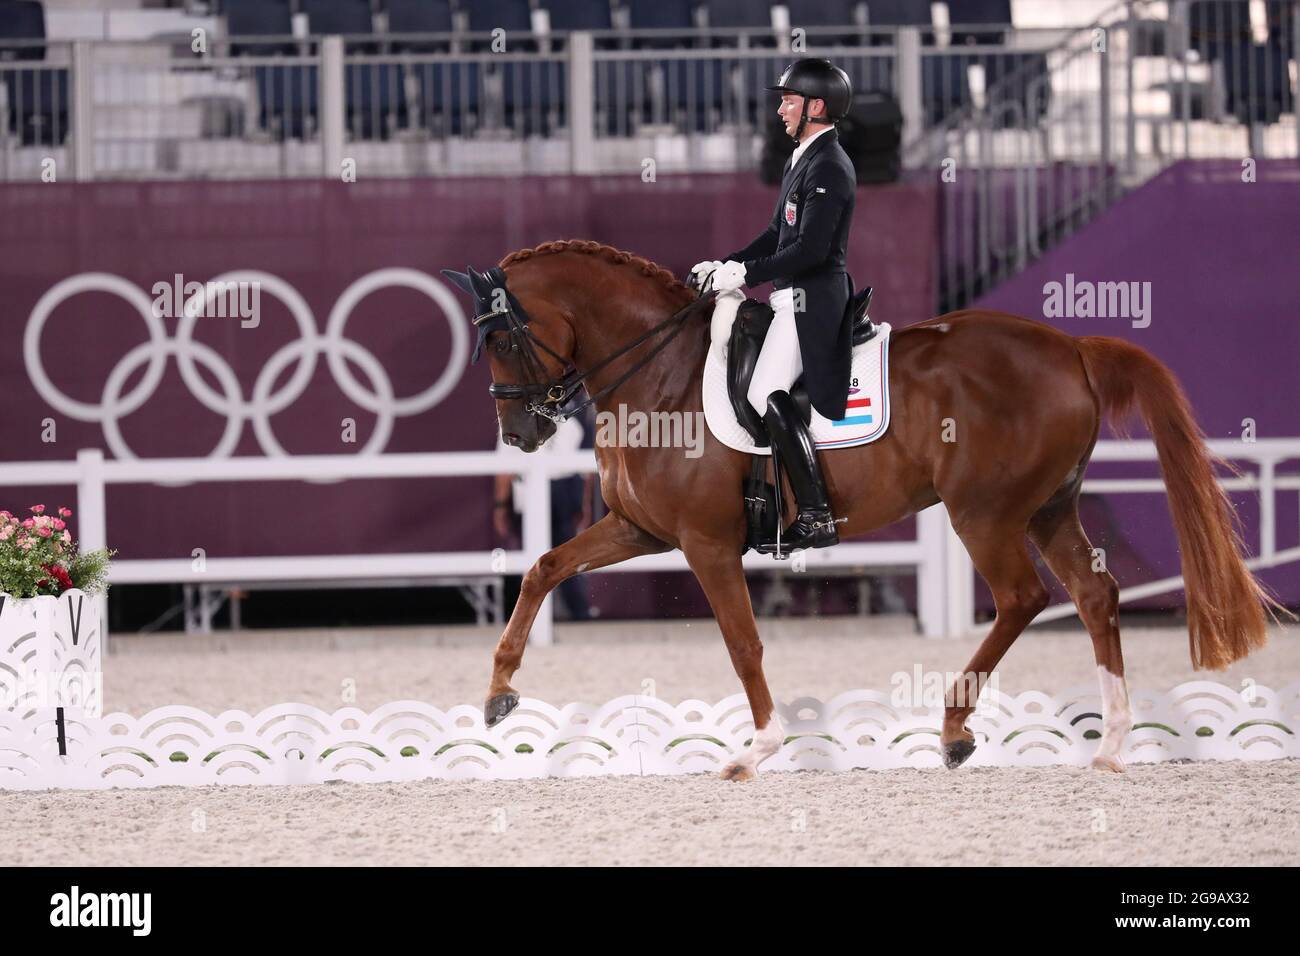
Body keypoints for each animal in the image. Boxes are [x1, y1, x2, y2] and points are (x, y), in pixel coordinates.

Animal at [452, 238, 1274, 780]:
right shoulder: (640, 530)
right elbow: (543, 567)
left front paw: (757, 749)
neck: (664, 374)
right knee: (1095, 595)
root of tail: (1070, 348)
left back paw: (954, 729)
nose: (519, 434)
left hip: (984, 515)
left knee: (1022, 597)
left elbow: (742, 643)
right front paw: (498, 696)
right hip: (1047, 508)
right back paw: (1109, 743)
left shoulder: (705, 543)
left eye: (502, 341)